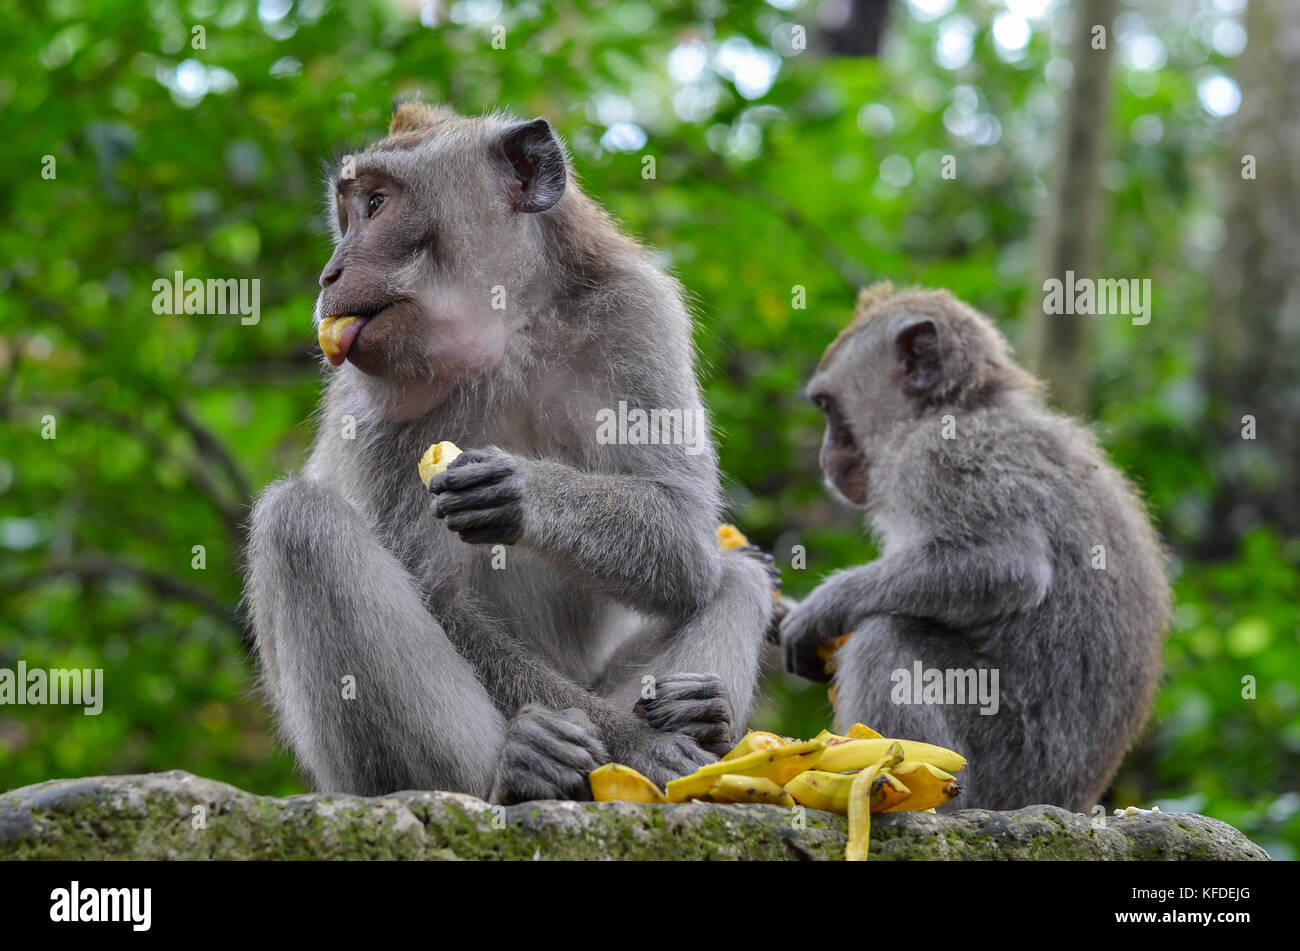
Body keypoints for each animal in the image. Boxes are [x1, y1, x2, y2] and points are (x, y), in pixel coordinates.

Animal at [246, 103, 774, 800]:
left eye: (377, 204)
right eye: (347, 213)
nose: (329, 274)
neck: (506, 330)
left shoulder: (637, 316)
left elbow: (685, 543)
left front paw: (518, 491)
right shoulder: (373, 406)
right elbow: (439, 599)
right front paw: (639, 747)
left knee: (735, 573)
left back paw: (702, 719)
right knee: (301, 523)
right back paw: (518, 770)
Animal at [780, 281, 1170, 810]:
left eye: (826, 406)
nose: (824, 458)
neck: (963, 405)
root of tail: (1071, 799)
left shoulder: (941, 456)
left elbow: (1006, 566)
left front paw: (822, 608)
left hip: (1008, 769)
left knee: (887, 638)